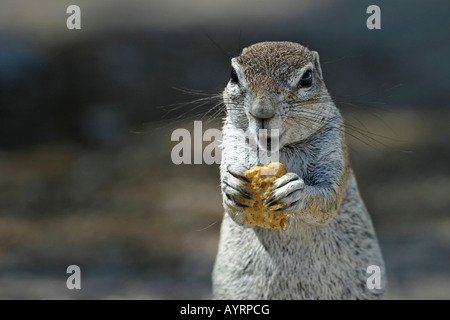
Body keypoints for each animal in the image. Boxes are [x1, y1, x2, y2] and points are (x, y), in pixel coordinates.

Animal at [213, 41, 384, 298]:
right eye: (233, 75)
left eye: (307, 78)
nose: (261, 111)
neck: (277, 149)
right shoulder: (231, 140)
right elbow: (236, 213)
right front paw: (231, 186)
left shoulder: (334, 149)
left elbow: (329, 199)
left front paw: (295, 191)